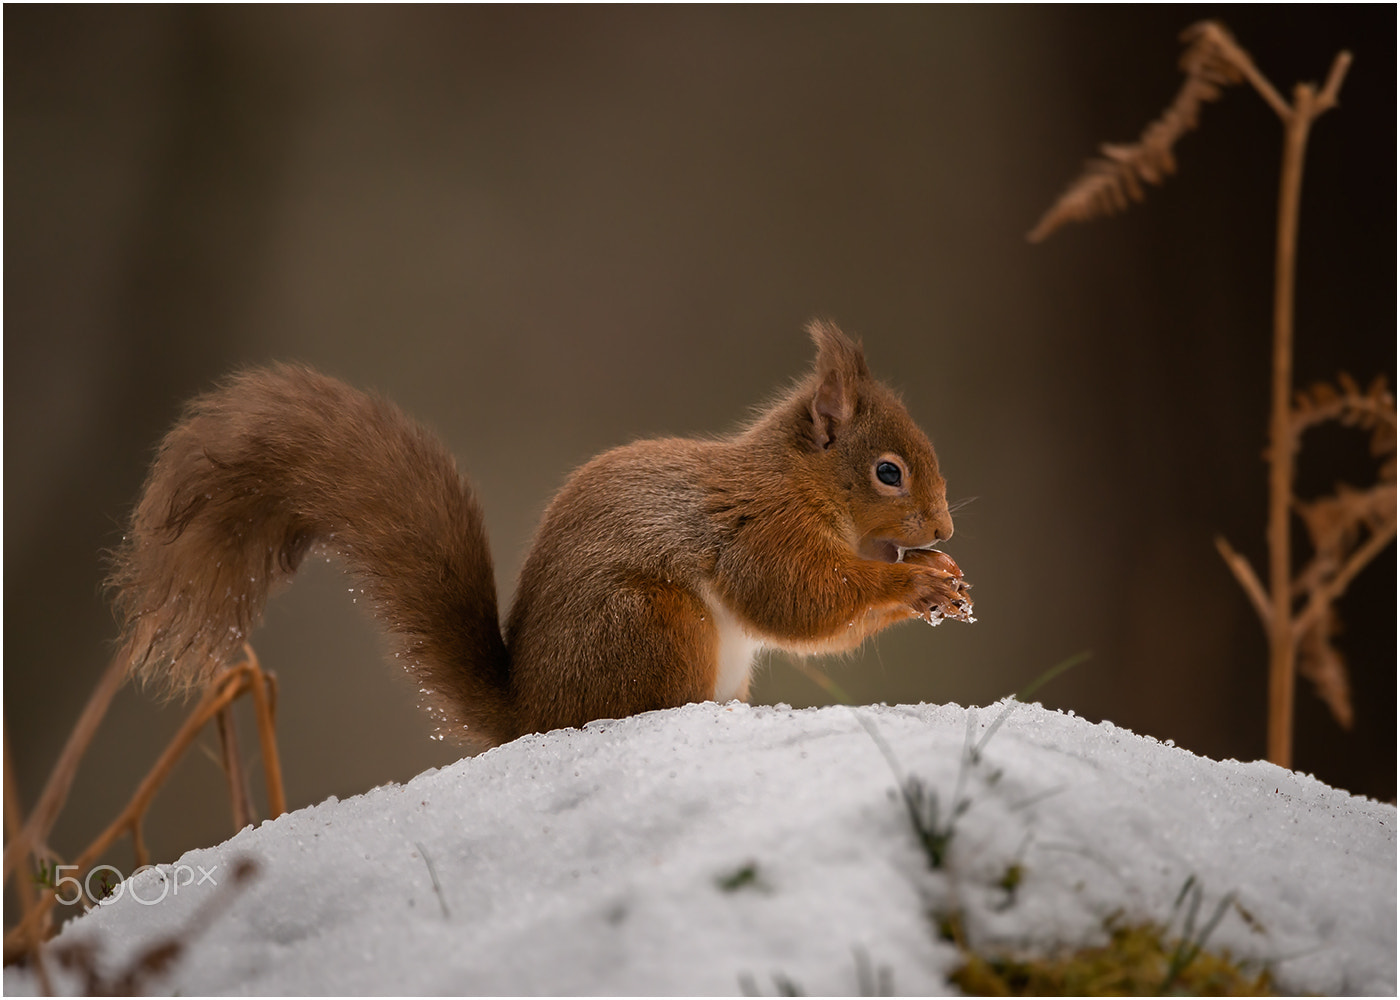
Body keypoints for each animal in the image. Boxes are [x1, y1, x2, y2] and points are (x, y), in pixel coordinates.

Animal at [109, 320, 972, 751]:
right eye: (889, 472)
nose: (944, 526)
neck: (799, 481)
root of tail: (533, 715)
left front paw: (946, 580)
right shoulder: (761, 530)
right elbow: (802, 601)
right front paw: (916, 580)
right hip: (654, 626)